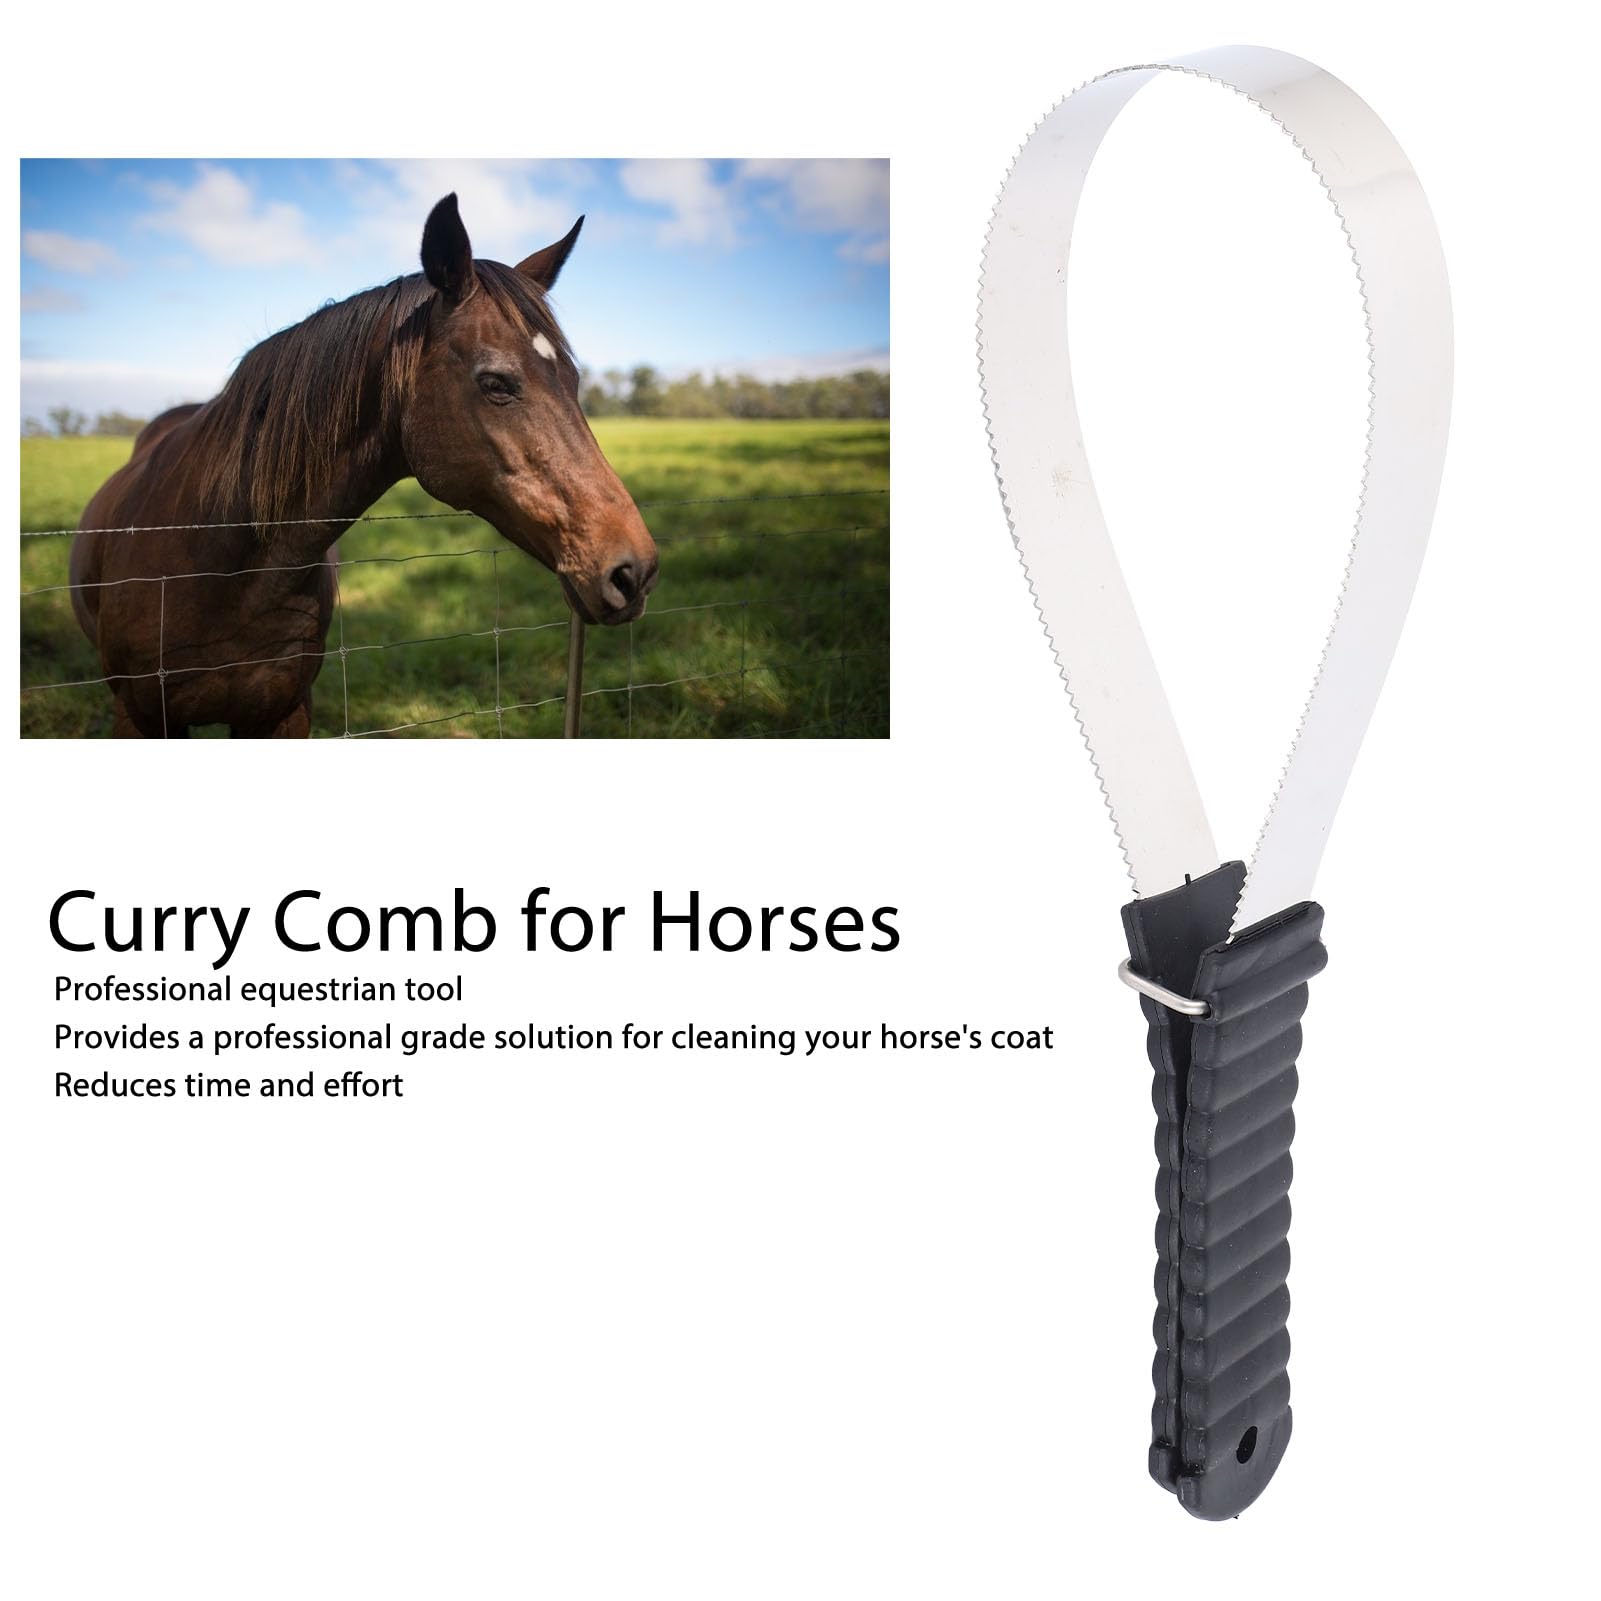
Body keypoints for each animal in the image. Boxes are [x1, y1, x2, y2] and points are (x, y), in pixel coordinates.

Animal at [70, 194, 659, 737]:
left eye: (575, 381)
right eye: (496, 383)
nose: (635, 572)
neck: (220, 560)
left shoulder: (282, 714)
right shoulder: (141, 717)